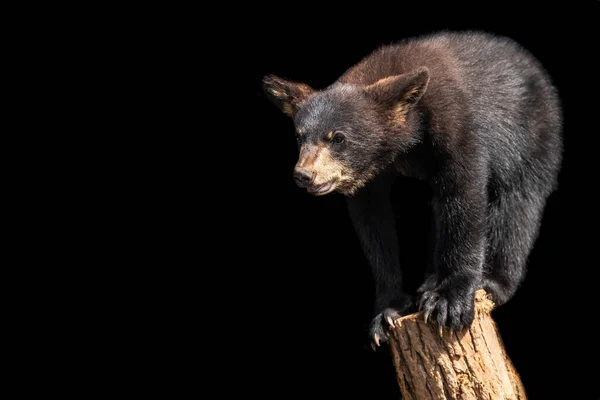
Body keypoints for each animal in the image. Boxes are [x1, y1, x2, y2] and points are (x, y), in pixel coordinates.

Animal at [262, 30, 564, 346]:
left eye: (338, 138)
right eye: (300, 136)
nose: (304, 174)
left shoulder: (457, 121)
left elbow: (465, 194)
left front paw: (450, 300)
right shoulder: (369, 182)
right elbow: (374, 227)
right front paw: (387, 311)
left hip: (534, 132)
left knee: (519, 202)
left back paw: (493, 281)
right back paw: (430, 280)